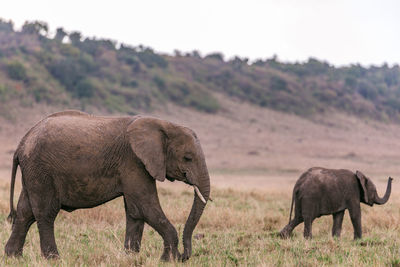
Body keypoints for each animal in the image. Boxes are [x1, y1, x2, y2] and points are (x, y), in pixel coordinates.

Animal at [4, 110, 211, 262]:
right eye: (187, 158)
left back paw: (13, 257)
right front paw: (169, 260)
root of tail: (22, 143)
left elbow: (135, 211)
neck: (163, 124)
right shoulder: (134, 162)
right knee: (45, 213)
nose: (185, 256)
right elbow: (146, 206)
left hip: (33, 172)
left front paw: (130, 257)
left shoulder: (135, 166)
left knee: (25, 212)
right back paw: (53, 259)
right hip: (41, 170)